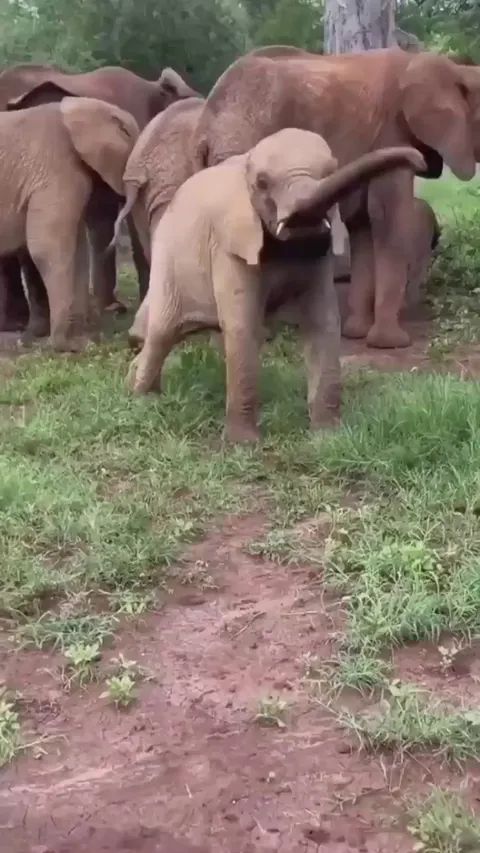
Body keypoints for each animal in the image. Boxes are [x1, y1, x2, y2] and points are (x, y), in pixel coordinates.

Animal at [125, 127, 424, 443]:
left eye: (331, 171)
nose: (419, 160)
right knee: (162, 332)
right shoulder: (229, 246)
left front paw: (328, 435)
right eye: (262, 183)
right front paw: (243, 444)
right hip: (167, 257)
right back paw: (141, 397)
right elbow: (242, 326)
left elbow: (323, 322)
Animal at [191, 47, 480, 349]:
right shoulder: (392, 133)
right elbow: (387, 216)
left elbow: (363, 222)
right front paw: (391, 343)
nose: (422, 163)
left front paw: (356, 333)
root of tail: (206, 127)